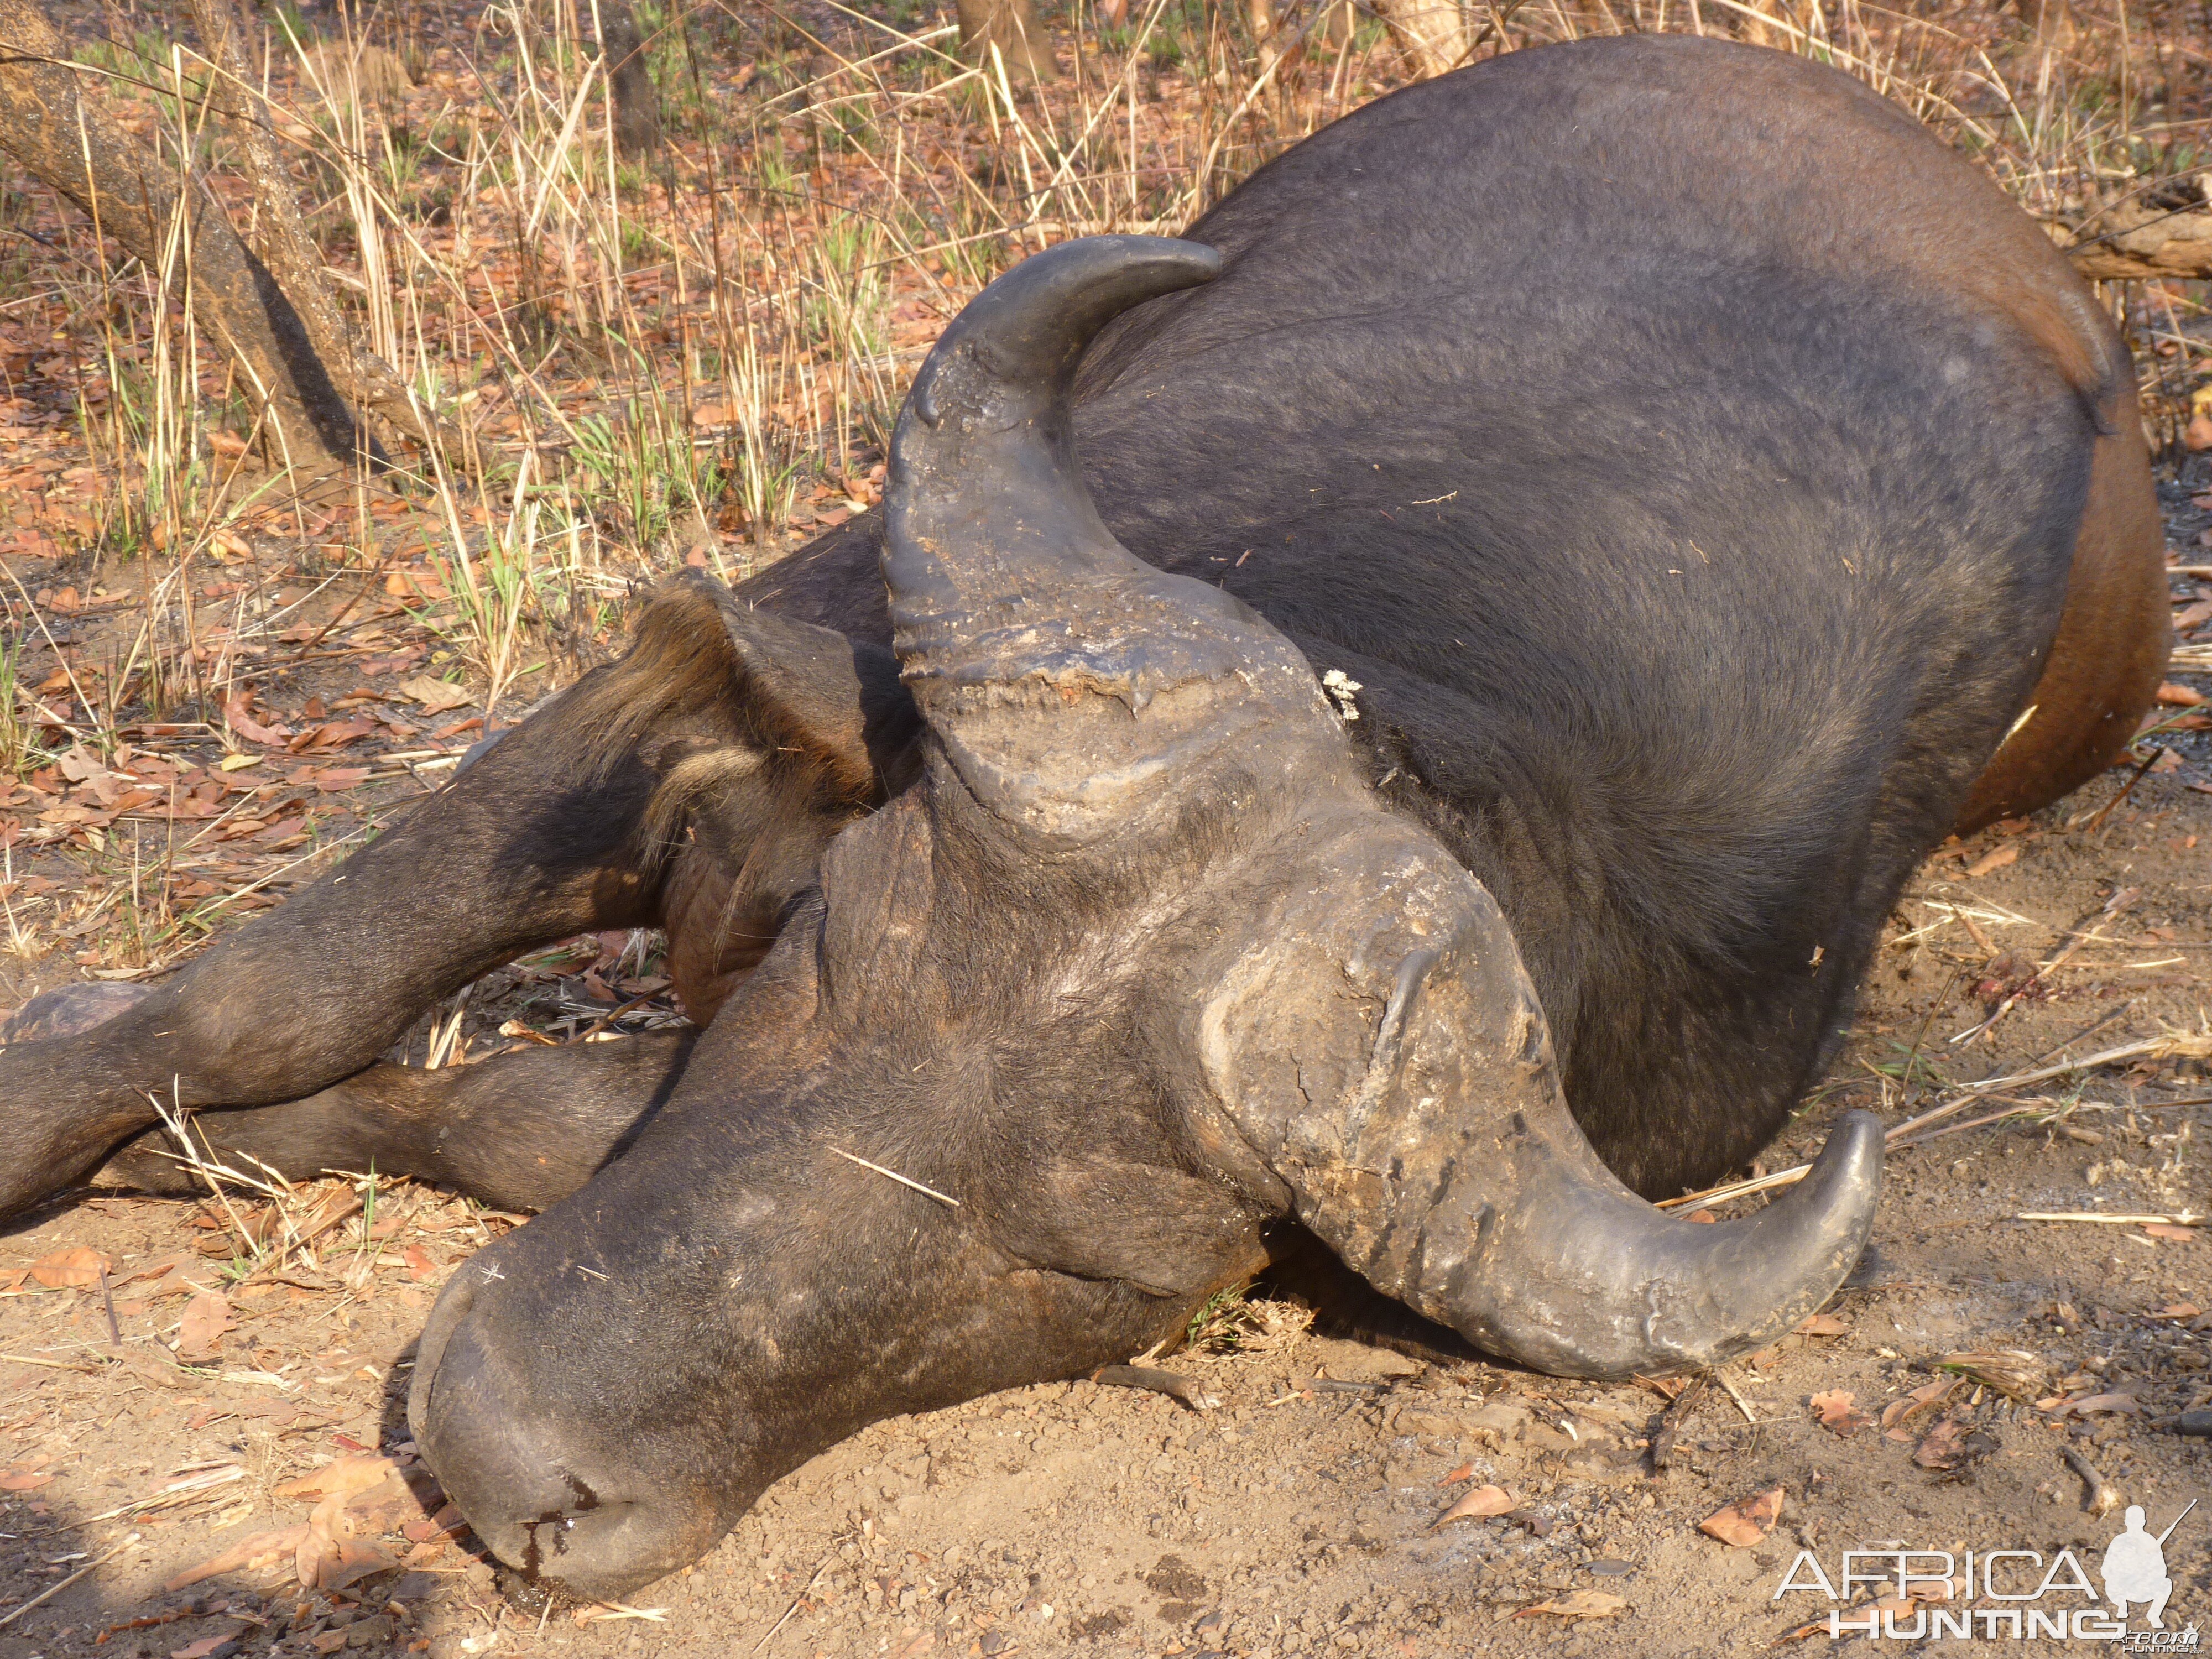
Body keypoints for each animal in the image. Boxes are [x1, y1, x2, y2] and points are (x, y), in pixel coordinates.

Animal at [0, 35, 2168, 1601]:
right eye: (830, 963)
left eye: (1077, 1277)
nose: (501, 1454)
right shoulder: (699, 684)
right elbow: (288, 977)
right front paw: (71, 1105)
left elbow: (520, 1108)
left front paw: (239, 1148)